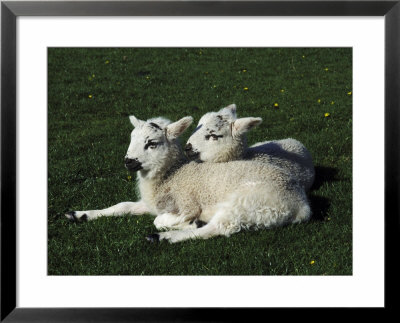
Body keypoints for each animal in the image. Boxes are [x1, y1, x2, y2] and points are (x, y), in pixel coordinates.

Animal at [65, 114, 310, 243]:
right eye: (132, 138)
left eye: (151, 143)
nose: (128, 161)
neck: (172, 175)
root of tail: (302, 204)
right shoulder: (151, 203)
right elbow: (122, 206)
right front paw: (80, 214)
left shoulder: (187, 204)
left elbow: (161, 219)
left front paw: (182, 223)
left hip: (250, 202)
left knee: (220, 228)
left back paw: (163, 237)